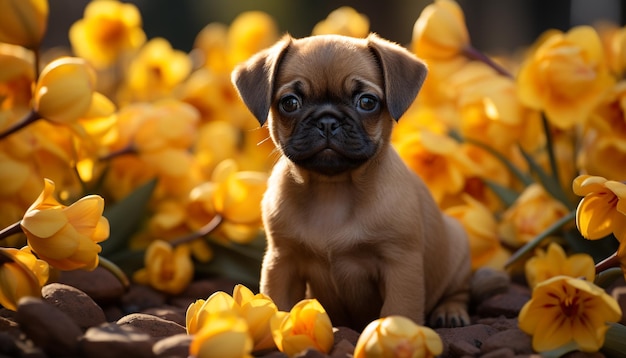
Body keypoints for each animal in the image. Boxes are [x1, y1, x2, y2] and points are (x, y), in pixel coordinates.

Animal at [232, 33, 470, 330]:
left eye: (367, 102)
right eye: (290, 103)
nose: (327, 120)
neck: (332, 190)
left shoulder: (400, 264)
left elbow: (399, 308)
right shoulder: (282, 260)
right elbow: (278, 303)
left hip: (457, 246)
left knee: (457, 290)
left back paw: (451, 311)